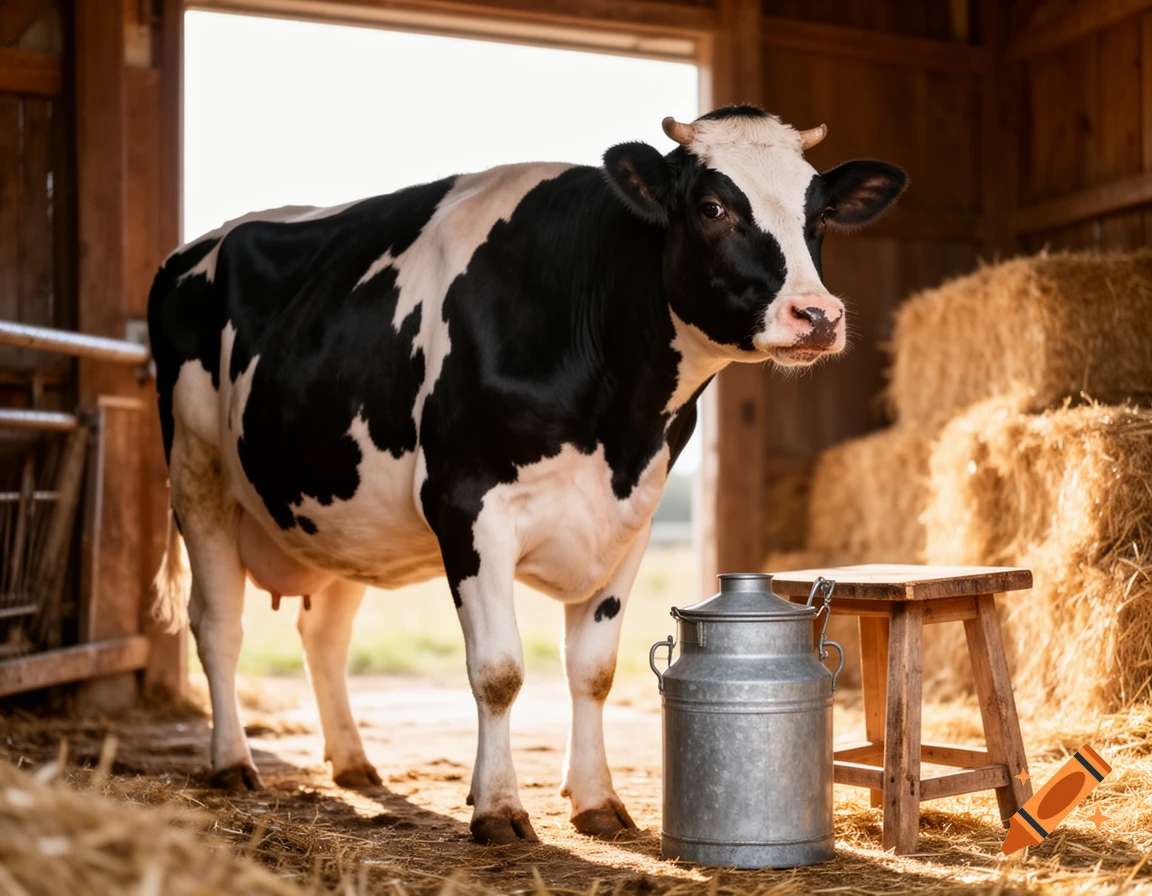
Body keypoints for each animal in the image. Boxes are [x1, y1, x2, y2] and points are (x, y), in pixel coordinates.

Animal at [148, 105, 906, 846]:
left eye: (819, 213)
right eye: (714, 206)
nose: (818, 315)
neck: (616, 418)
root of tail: (193, 249)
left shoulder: (631, 517)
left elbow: (593, 670)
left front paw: (597, 801)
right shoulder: (467, 506)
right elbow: (499, 671)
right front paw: (498, 809)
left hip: (344, 513)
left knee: (324, 636)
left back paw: (355, 763)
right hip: (198, 475)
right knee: (218, 626)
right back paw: (231, 762)